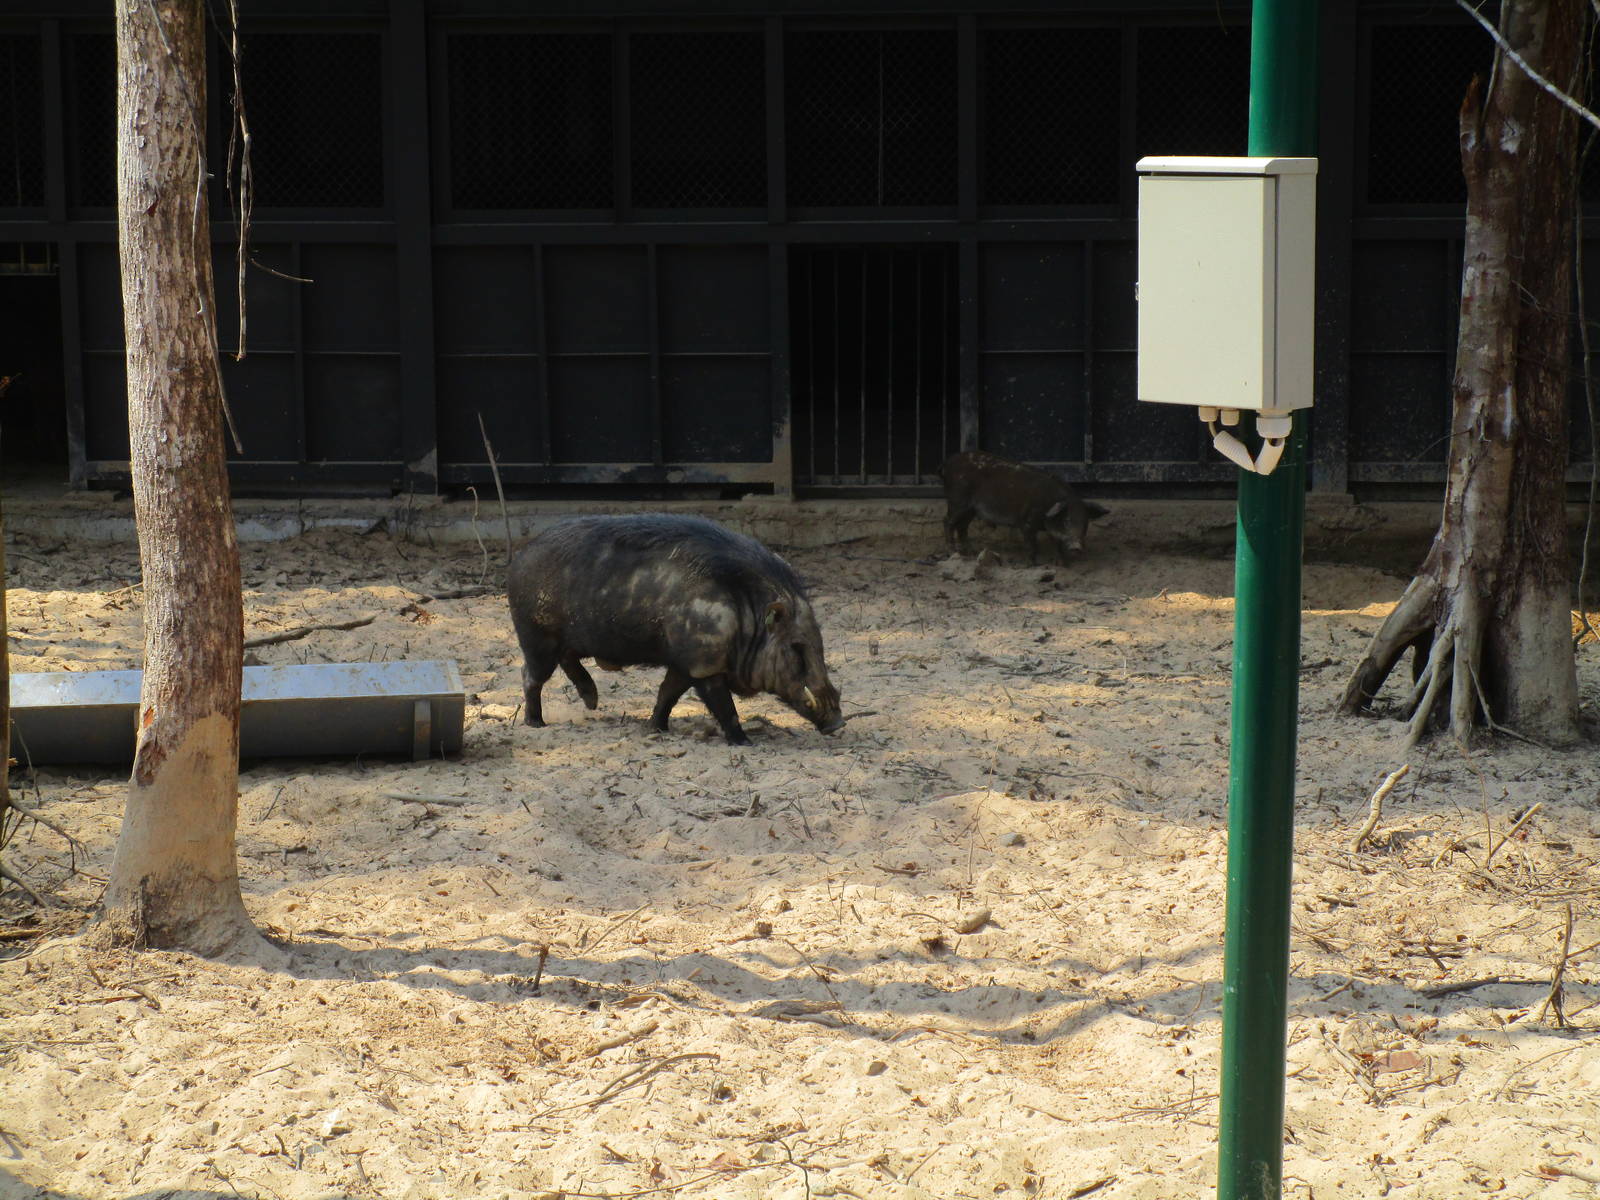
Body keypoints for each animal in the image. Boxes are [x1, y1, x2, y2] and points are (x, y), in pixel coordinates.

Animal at [506, 514, 845, 746]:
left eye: (820, 643)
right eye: (797, 648)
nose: (838, 724)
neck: (744, 614)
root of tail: (520, 557)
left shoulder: (684, 663)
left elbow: (666, 693)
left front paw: (656, 728)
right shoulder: (704, 663)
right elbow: (724, 706)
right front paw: (744, 742)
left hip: (566, 639)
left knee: (567, 661)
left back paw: (592, 702)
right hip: (536, 636)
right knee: (531, 676)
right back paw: (536, 724)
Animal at [940, 450, 1108, 565]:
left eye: (1085, 523)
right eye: (1066, 520)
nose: (1077, 547)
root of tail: (948, 463)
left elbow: (1058, 545)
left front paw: (1063, 564)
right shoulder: (1026, 523)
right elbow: (1032, 545)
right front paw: (1031, 564)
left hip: (971, 509)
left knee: (962, 526)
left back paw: (970, 552)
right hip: (957, 500)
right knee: (947, 521)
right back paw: (952, 552)